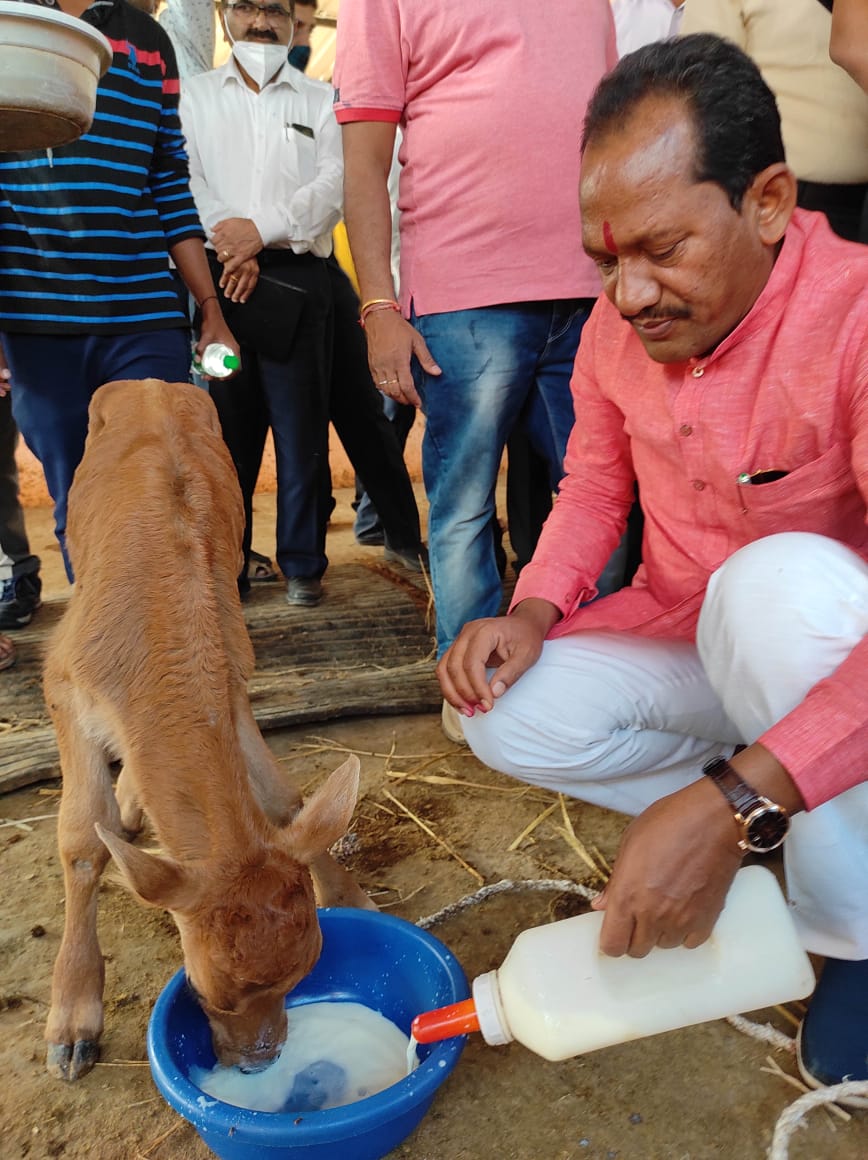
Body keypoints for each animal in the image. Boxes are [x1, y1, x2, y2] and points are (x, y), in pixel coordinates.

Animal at [44, 378, 371, 1076]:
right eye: (205, 991)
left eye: (304, 973)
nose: (259, 1062)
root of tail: (145, 383)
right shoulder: (61, 684)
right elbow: (83, 839)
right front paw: (74, 1014)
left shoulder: (232, 678)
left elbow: (283, 800)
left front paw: (349, 895)